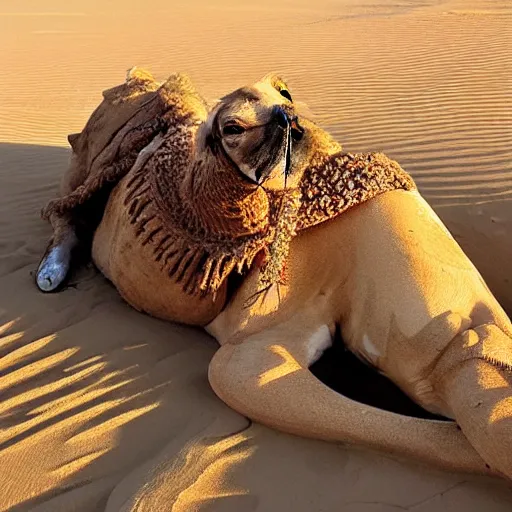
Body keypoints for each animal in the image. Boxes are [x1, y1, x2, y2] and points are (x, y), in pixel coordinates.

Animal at [37, 70, 512, 482]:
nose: (290, 118)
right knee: (67, 210)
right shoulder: (250, 351)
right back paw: (51, 272)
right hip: (85, 160)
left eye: (286, 92)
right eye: (231, 127)